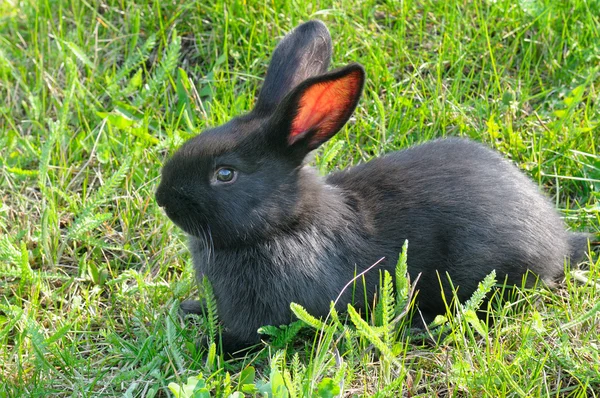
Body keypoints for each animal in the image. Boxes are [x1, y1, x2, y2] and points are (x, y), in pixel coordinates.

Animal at [152, 19, 588, 354]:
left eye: (225, 174)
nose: (162, 199)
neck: (285, 227)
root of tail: (559, 241)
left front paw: (209, 345)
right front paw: (192, 308)